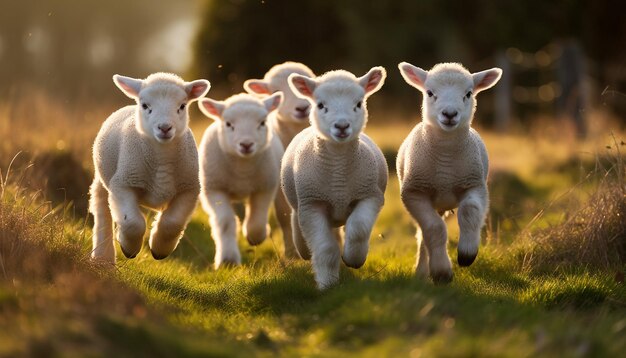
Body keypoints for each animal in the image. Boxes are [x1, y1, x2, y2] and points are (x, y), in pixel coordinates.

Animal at [89, 72, 210, 262]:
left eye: (182, 106)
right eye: (145, 105)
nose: (164, 127)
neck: (161, 156)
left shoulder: (189, 189)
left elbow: (172, 223)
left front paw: (159, 249)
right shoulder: (123, 183)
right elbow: (132, 222)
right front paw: (129, 248)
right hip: (104, 178)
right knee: (101, 207)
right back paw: (103, 258)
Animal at [197, 92, 282, 268]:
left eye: (262, 123)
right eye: (228, 124)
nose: (246, 144)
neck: (242, 170)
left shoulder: (265, 187)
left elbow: (257, 218)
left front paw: (255, 237)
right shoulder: (213, 189)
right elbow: (226, 222)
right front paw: (228, 259)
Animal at [282, 67, 388, 290]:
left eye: (358, 104)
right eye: (321, 105)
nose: (341, 126)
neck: (338, 171)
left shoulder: (370, 195)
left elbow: (358, 229)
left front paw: (353, 258)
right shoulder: (312, 203)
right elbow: (325, 248)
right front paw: (327, 284)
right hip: (301, 201)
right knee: (297, 219)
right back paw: (303, 249)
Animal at [394, 62, 502, 286]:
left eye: (468, 93)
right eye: (429, 92)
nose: (450, 114)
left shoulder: (475, 184)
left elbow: (469, 211)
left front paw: (467, 254)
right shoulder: (414, 193)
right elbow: (434, 229)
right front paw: (442, 272)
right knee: (424, 234)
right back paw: (422, 272)